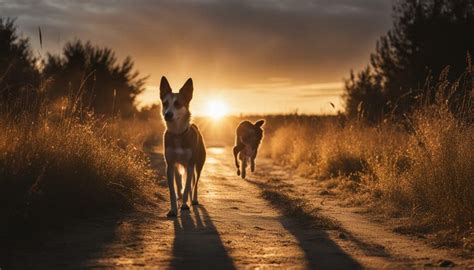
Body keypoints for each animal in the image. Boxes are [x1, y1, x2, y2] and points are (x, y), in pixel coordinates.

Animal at [160, 76, 205, 217]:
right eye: (165, 103)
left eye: (177, 104)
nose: (167, 114)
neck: (178, 134)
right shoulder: (169, 165)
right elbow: (173, 190)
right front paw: (173, 209)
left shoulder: (190, 164)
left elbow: (187, 187)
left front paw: (185, 205)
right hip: (177, 166)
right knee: (180, 182)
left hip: (198, 164)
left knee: (194, 183)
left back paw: (193, 200)